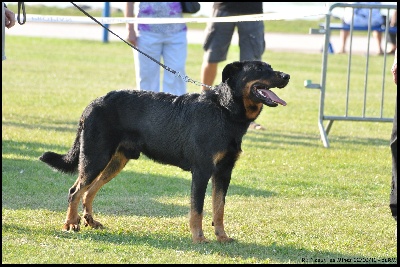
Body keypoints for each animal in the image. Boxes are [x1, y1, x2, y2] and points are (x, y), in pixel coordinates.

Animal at [40, 61, 290, 245]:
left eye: (270, 67)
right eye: (260, 69)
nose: (287, 75)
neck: (224, 110)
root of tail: (91, 105)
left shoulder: (224, 172)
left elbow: (219, 208)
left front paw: (222, 237)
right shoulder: (202, 171)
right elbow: (197, 210)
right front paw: (199, 238)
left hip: (115, 161)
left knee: (89, 191)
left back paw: (90, 221)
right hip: (95, 157)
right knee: (76, 190)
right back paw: (71, 223)